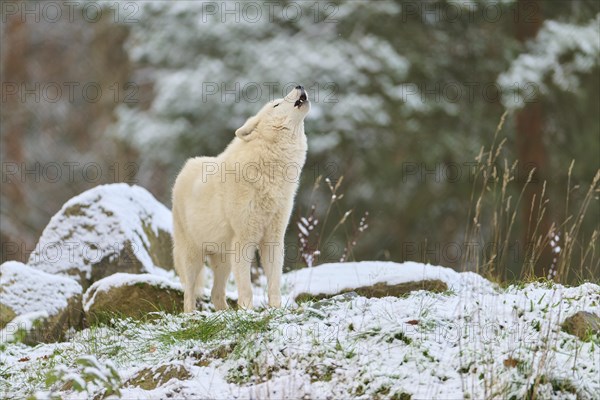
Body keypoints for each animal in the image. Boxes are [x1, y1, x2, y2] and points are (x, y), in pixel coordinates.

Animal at [170, 85, 308, 312]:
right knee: (188, 294)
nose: (299, 86)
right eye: (276, 104)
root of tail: (185, 168)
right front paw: (248, 312)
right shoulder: (244, 240)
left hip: (223, 260)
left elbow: (274, 283)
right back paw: (191, 316)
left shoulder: (273, 239)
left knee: (216, 294)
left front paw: (276, 310)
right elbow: (247, 287)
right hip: (193, 256)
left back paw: (224, 314)